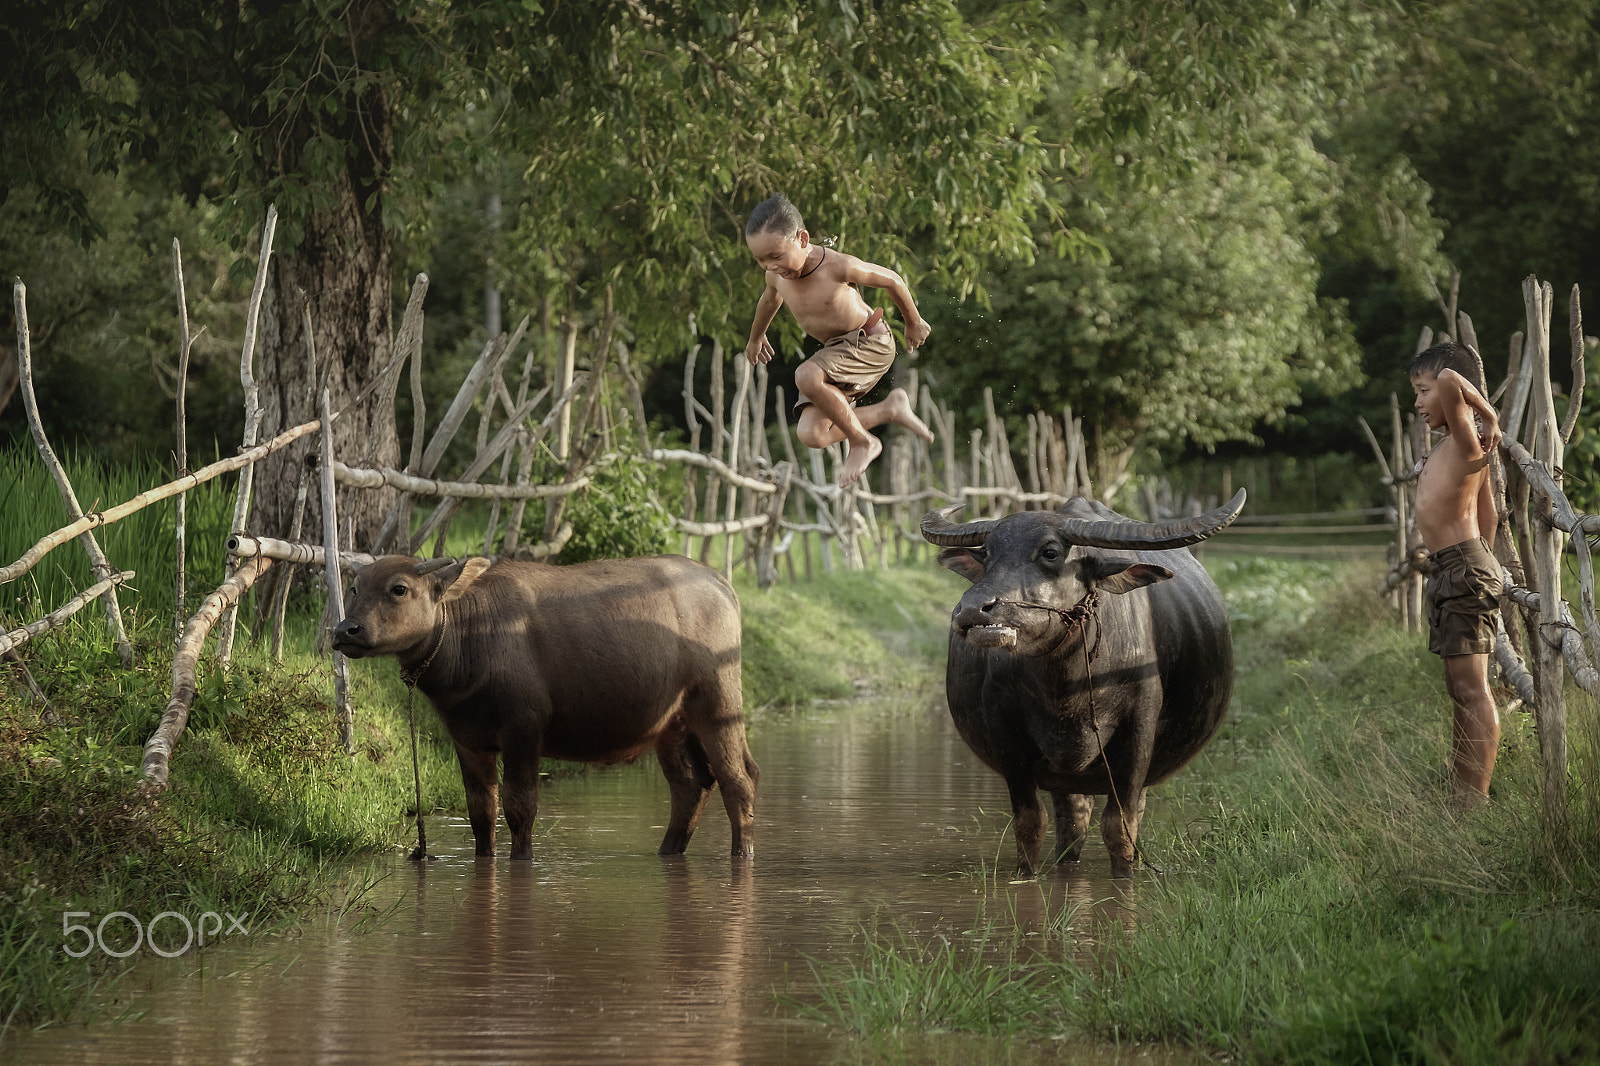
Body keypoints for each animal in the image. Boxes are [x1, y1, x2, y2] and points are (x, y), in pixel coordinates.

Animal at [329, 550, 755, 857]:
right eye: (356, 588)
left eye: (398, 589)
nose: (345, 630)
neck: (469, 637)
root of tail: (720, 583)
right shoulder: (467, 739)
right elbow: (481, 813)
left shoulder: (523, 731)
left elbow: (520, 807)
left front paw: (522, 858)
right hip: (671, 723)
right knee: (691, 785)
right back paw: (668, 851)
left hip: (719, 703)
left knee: (739, 781)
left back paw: (742, 854)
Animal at [921, 489, 1241, 870]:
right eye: (987, 554)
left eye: (1050, 552)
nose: (972, 609)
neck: (1064, 691)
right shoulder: (1006, 734)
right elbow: (1030, 825)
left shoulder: (1138, 733)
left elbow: (1120, 829)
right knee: (1071, 826)